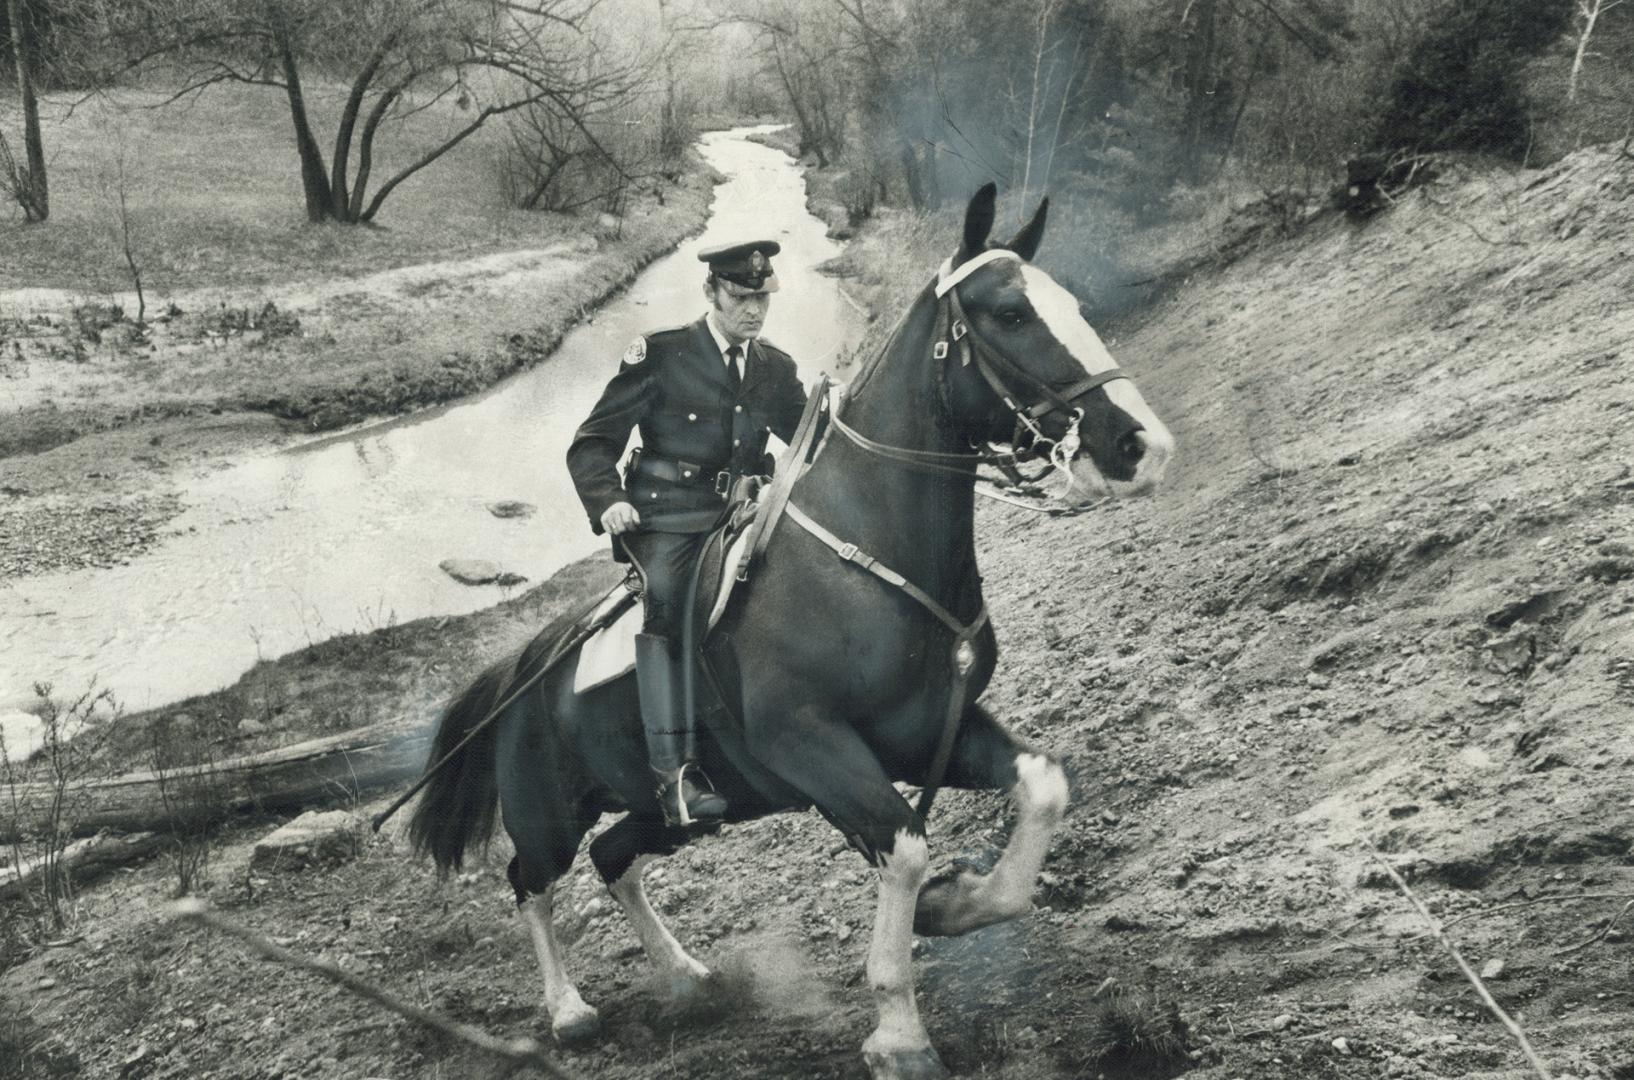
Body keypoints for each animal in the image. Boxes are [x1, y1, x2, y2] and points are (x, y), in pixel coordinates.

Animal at [408, 187, 1176, 1078]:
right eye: (1012, 313)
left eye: (1072, 307)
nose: (1141, 445)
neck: (868, 551)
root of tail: (526, 666)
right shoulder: (817, 746)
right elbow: (904, 847)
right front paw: (899, 1030)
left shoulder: (927, 733)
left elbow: (1042, 786)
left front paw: (956, 904)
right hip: (549, 810)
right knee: (531, 877)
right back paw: (569, 1011)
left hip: (672, 809)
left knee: (613, 858)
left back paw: (687, 976)